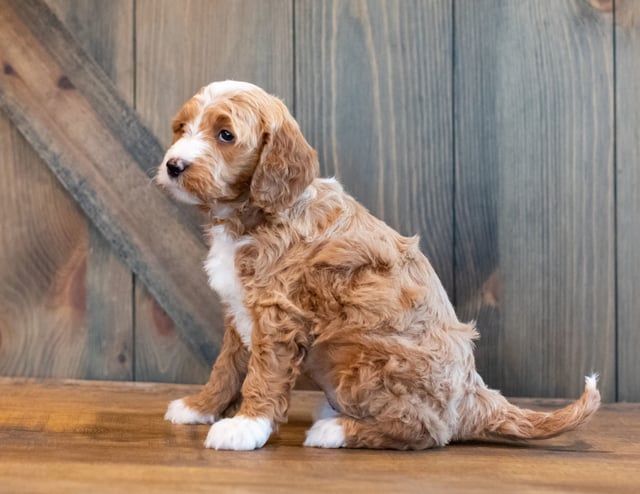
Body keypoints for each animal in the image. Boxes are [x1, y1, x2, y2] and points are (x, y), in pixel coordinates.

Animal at [158, 79, 596, 450]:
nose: (173, 165)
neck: (257, 216)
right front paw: (201, 406)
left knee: (425, 430)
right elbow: (227, 366)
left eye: (225, 135)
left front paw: (246, 426)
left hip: (367, 360)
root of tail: (476, 397)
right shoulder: (240, 310)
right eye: (181, 128)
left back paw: (335, 430)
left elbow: (262, 373)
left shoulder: (277, 313)